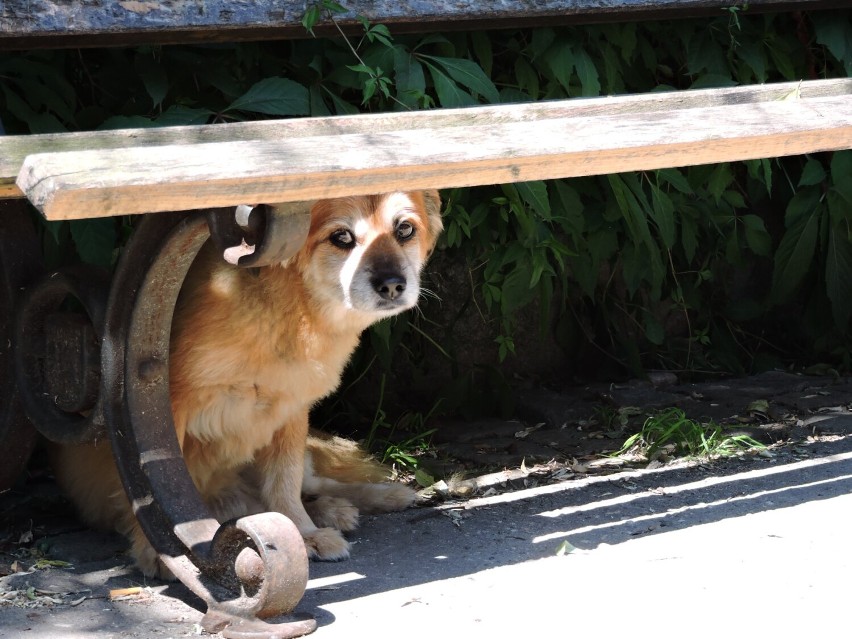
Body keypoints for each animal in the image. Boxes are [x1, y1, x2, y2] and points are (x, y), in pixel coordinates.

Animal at [52, 191, 442, 580]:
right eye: (341, 237)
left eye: (405, 230)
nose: (392, 285)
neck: (293, 308)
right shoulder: (159, 406)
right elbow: (154, 489)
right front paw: (158, 551)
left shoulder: (292, 410)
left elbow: (284, 484)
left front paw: (303, 532)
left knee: (311, 485)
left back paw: (371, 499)